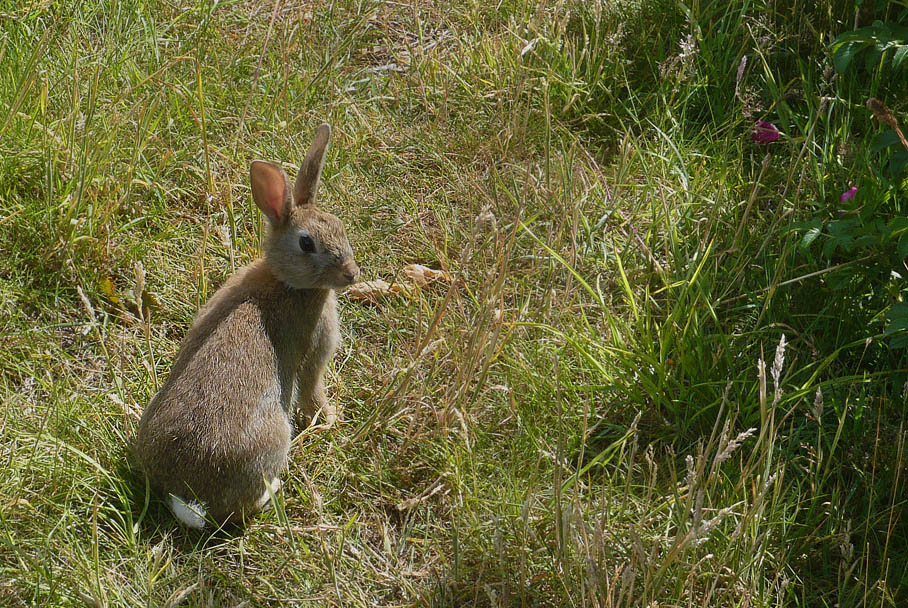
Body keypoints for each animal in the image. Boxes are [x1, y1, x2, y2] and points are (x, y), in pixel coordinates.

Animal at [135, 123, 358, 528]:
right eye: (307, 243)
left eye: (340, 226)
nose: (352, 274)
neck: (287, 282)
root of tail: (187, 495)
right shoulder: (315, 354)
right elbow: (313, 390)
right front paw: (330, 418)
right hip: (273, 439)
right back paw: (274, 492)